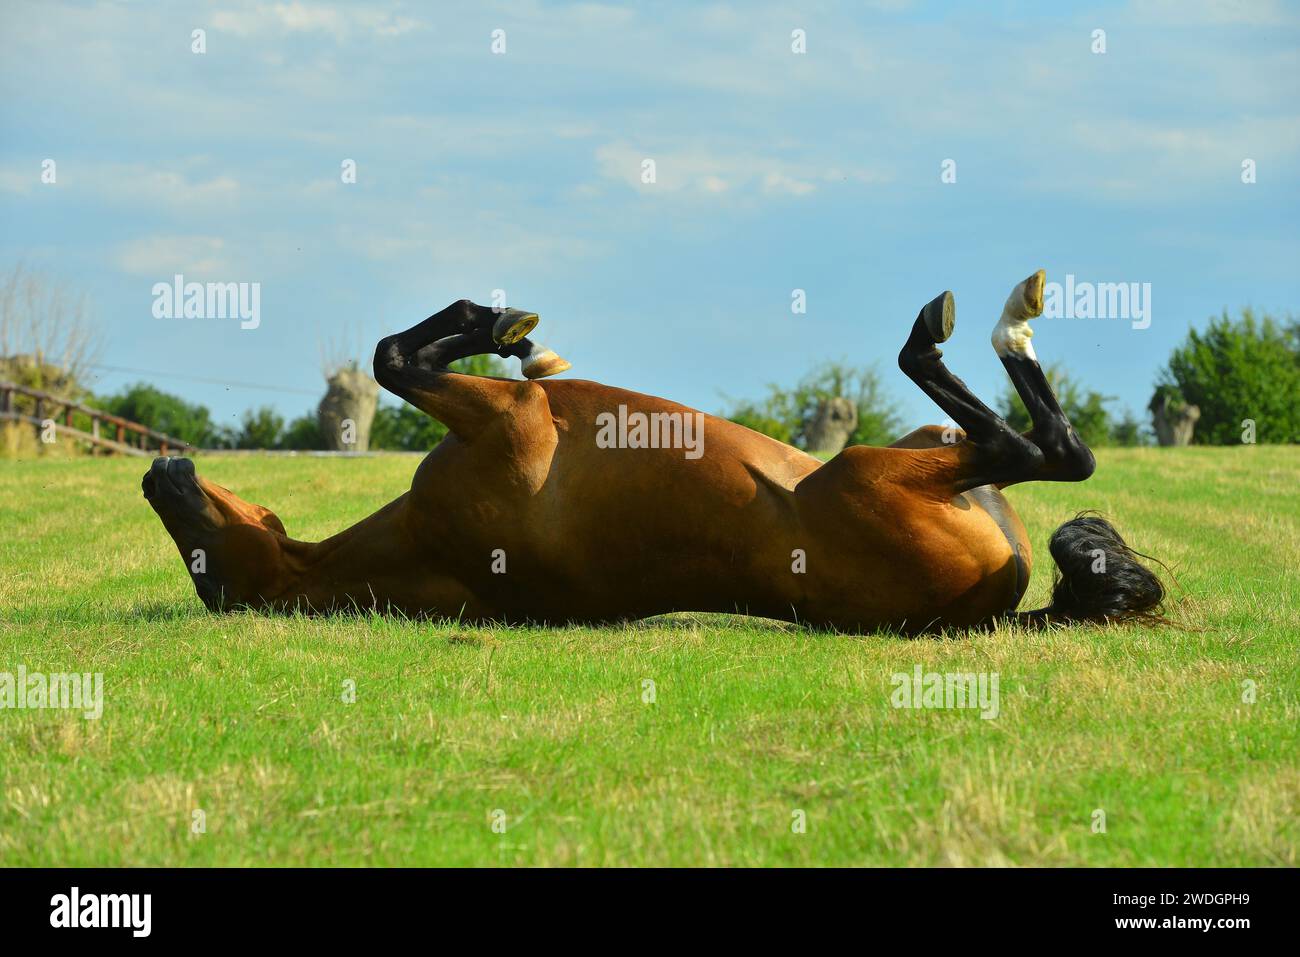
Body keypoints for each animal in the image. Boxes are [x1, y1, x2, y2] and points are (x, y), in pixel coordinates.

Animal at [143, 270, 1165, 634]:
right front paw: (502, 325)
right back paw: (987, 323)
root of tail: (989, 604)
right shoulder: (509, 420)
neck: (436, 551)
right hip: (891, 466)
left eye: (199, 549)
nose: (161, 473)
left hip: (924, 449)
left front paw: (510, 330)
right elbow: (395, 356)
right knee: (1047, 446)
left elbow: (399, 356)